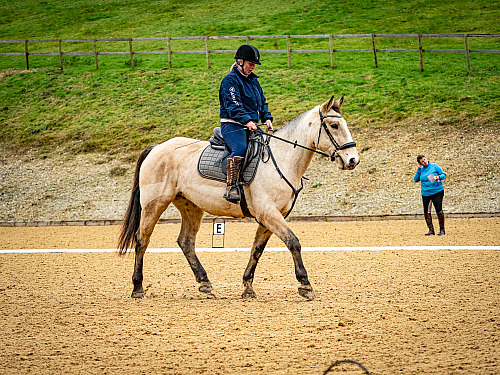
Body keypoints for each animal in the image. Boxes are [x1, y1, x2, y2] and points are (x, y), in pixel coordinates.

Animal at [117, 95, 360, 302]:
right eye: (334, 126)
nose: (352, 160)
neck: (282, 159)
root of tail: (157, 147)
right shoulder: (269, 213)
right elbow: (293, 242)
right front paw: (305, 284)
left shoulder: (270, 217)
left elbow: (257, 250)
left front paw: (248, 287)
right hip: (154, 205)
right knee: (142, 239)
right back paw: (138, 288)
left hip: (191, 206)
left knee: (186, 242)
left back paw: (205, 283)